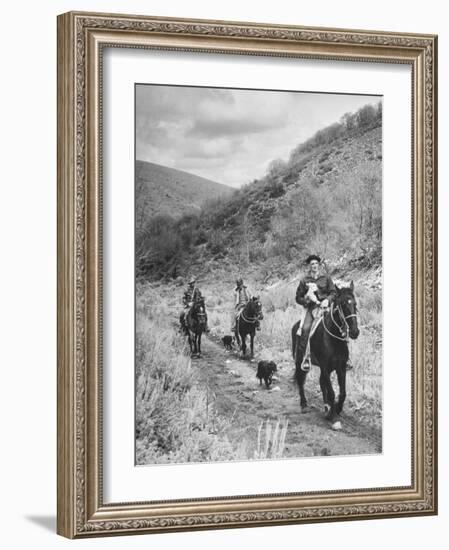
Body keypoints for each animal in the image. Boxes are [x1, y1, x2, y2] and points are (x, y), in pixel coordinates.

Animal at [290, 282, 360, 424]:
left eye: (355, 304)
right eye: (343, 304)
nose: (355, 332)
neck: (333, 339)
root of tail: (296, 326)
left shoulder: (341, 367)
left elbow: (342, 393)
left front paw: (337, 408)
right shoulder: (324, 365)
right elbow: (332, 392)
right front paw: (332, 414)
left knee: (321, 382)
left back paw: (326, 405)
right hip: (300, 361)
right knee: (301, 381)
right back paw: (304, 404)